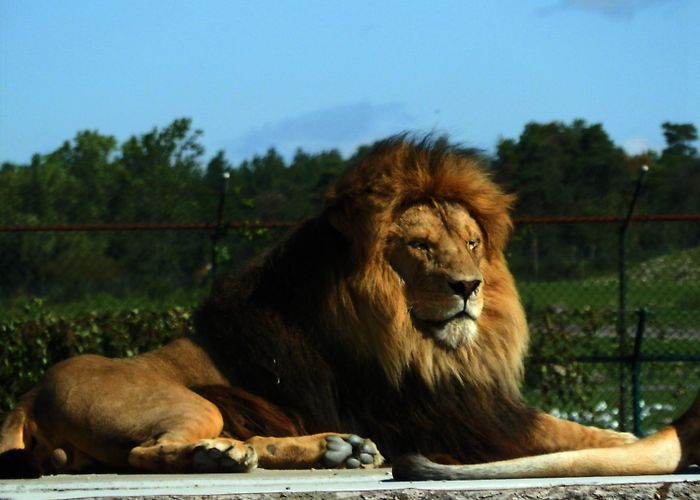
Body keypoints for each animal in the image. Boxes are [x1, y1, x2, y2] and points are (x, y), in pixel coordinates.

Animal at [2, 135, 645, 477]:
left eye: (470, 243)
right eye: (420, 246)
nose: (469, 286)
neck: (425, 348)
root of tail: (29, 393)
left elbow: (580, 429)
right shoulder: (454, 419)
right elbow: (568, 432)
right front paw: (634, 445)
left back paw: (332, 449)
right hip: (180, 404)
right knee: (144, 453)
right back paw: (223, 456)